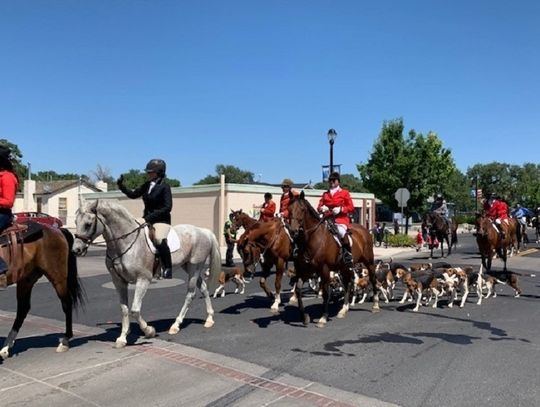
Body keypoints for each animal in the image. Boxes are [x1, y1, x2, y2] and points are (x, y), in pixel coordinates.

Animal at [0, 223, 84, 360]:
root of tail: (57, 230)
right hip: (26, 279)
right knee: (23, 309)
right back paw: (6, 347)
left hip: (57, 277)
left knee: (67, 303)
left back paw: (65, 341)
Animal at [73, 200, 220, 348]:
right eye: (75, 222)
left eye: (88, 224)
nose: (76, 250)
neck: (126, 243)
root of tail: (203, 231)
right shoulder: (119, 281)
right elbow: (124, 309)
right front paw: (122, 338)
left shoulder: (143, 279)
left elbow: (134, 310)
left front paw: (149, 331)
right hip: (189, 267)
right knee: (204, 289)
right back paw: (209, 319)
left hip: (194, 267)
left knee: (190, 294)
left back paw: (175, 325)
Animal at [288, 192, 378, 328]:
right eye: (289, 209)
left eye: (302, 210)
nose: (294, 231)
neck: (311, 239)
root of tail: (364, 229)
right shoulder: (305, 270)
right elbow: (298, 290)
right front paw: (304, 318)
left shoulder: (324, 269)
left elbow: (326, 292)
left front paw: (323, 318)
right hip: (345, 267)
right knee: (348, 284)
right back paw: (343, 309)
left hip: (369, 262)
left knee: (372, 279)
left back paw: (375, 305)